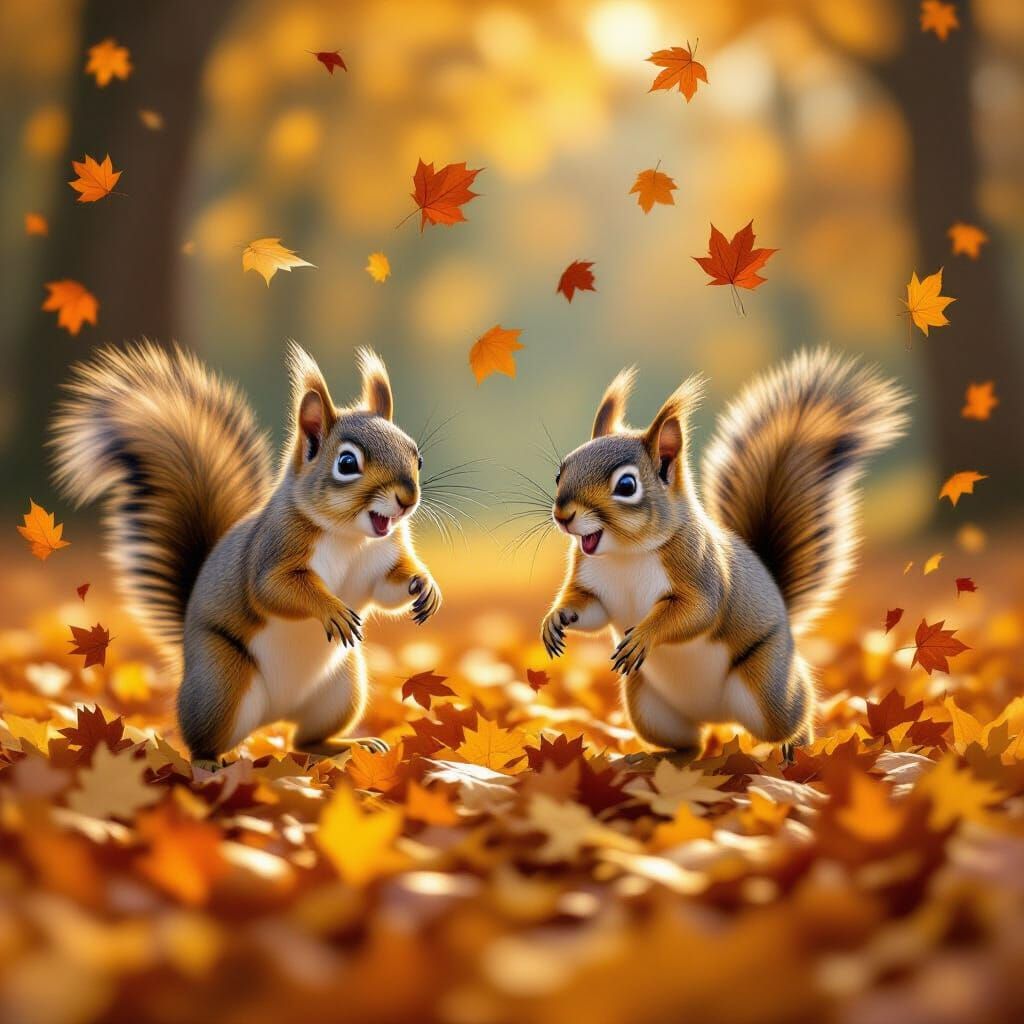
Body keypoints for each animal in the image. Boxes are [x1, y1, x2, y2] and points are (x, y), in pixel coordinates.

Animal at [52, 341, 442, 769]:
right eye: (346, 463)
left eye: (417, 456)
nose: (407, 499)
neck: (350, 537)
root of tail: (273, 718)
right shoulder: (272, 550)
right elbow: (273, 590)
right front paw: (331, 608)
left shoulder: (381, 559)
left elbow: (388, 589)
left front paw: (425, 584)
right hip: (221, 682)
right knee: (204, 738)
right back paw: (207, 763)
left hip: (342, 689)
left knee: (305, 740)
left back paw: (350, 746)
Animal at [541, 348, 908, 758]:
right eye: (561, 471)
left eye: (626, 485)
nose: (563, 515)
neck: (625, 555)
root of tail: (716, 716)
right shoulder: (591, 580)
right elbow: (590, 609)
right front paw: (555, 619)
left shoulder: (699, 570)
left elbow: (695, 611)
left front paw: (644, 634)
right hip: (648, 708)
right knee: (689, 745)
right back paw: (655, 757)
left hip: (768, 688)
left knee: (793, 714)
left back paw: (797, 750)